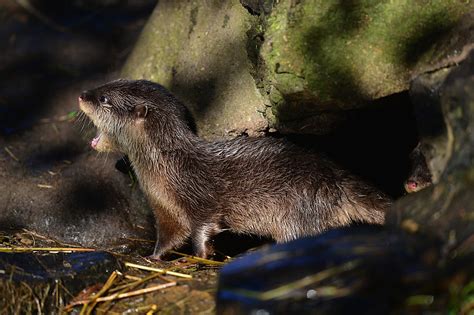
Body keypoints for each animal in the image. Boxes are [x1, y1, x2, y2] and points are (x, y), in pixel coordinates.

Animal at [78, 79, 392, 260]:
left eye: (104, 99)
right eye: (103, 87)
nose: (81, 95)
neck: (169, 168)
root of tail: (337, 180)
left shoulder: (201, 200)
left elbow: (203, 228)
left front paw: (202, 255)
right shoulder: (166, 210)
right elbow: (170, 237)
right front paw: (151, 258)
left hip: (300, 210)